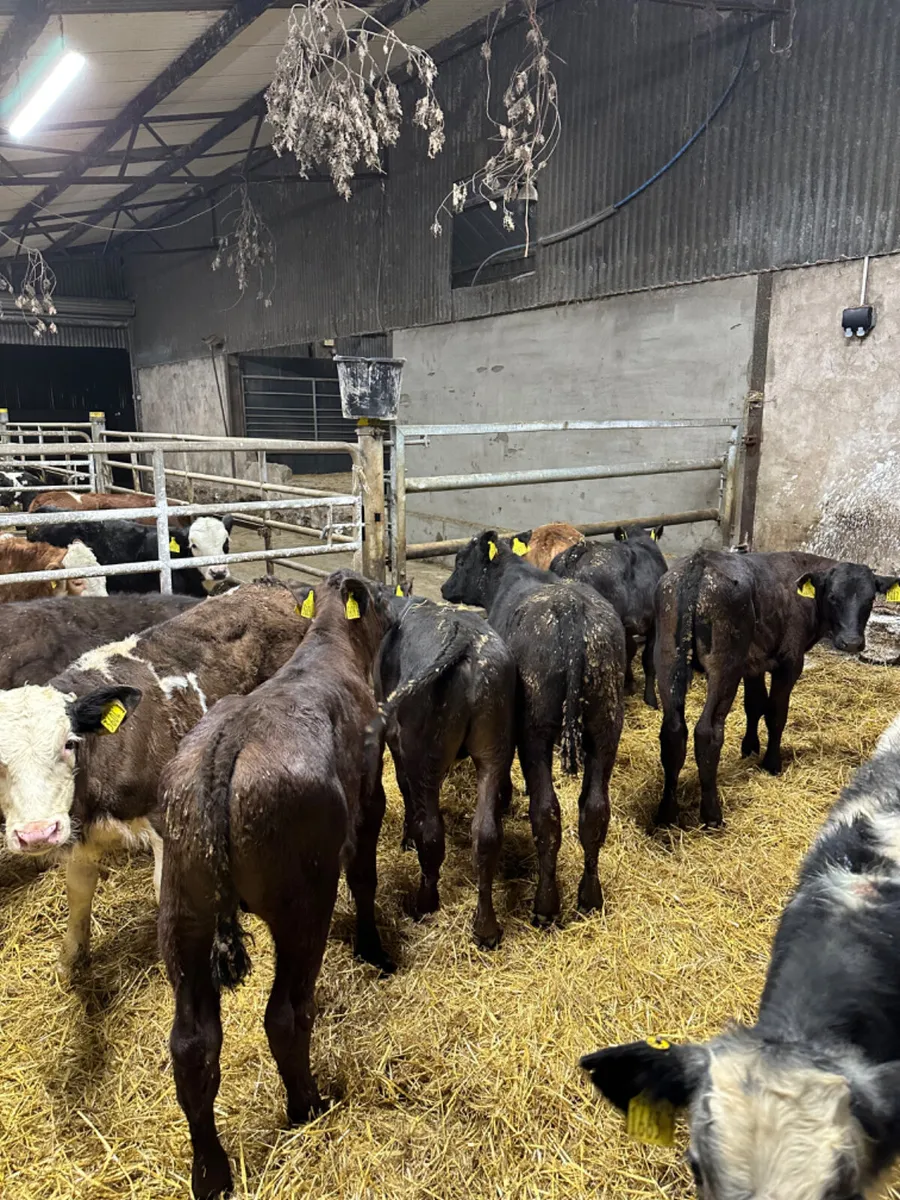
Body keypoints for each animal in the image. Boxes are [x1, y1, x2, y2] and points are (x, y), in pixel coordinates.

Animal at [159, 571, 393, 1199]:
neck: (327, 648)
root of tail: (225, 747)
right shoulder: (370, 798)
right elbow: (365, 875)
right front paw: (374, 949)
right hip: (302, 905)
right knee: (286, 1014)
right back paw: (309, 1105)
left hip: (183, 911)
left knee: (192, 1044)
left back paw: (211, 1174)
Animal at [368, 591, 516, 947]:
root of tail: (463, 638)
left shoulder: (397, 741)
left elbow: (403, 786)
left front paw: (406, 838)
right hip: (495, 747)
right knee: (486, 834)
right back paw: (486, 929)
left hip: (426, 752)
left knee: (432, 833)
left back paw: (424, 905)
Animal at [442, 532, 625, 925]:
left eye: (461, 561)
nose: (446, 587)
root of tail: (572, 610)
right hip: (606, 724)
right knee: (595, 810)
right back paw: (590, 898)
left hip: (535, 731)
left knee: (546, 812)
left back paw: (545, 906)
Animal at [551, 524, 667, 708]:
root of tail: (580, 550)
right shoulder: (654, 623)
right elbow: (648, 658)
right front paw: (650, 699)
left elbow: (630, 650)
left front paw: (629, 683)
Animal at [655, 550, 900, 829]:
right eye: (833, 597)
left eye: (870, 599)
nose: (851, 643)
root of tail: (701, 561)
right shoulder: (789, 662)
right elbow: (776, 714)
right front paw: (771, 763)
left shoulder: (754, 664)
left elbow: (754, 705)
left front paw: (750, 748)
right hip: (724, 665)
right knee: (707, 732)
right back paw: (712, 815)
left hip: (668, 657)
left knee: (673, 730)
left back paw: (666, 814)